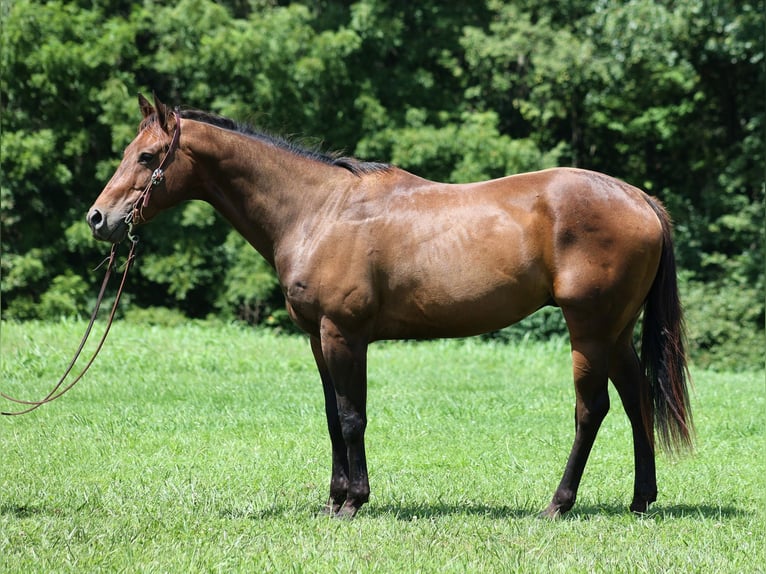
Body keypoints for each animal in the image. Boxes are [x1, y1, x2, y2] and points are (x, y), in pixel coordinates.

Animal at [87, 95, 692, 520]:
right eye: (125, 153)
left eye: (147, 156)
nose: (98, 219)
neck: (319, 210)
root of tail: (639, 198)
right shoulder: (318, 338)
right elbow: (332, 415)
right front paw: (334, 499)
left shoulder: (344, 334)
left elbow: (353, 416)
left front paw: (354, 500)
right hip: (615, 331)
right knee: (637, 401)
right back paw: (641, 500)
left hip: (588, 331)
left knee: (592, 411)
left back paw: (558, 503)